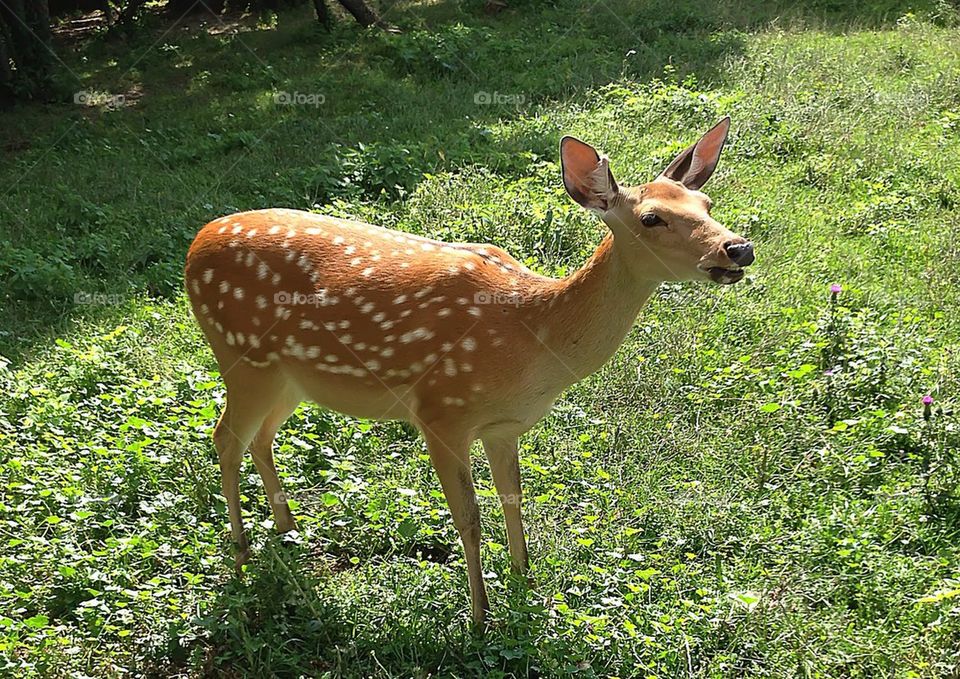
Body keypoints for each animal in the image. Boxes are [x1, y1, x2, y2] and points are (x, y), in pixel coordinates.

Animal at [184, 117, 755, 626]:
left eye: (706, 204)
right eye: (652, 218)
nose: (739, 248)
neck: (534, 335)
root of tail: (195, 242)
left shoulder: (504, 426)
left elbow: (514, 499)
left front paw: (525, 581)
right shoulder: (442, 411)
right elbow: (469, 517)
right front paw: (480, 617)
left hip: (289, 376)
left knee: (261, 437)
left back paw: (285, 526)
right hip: (241, 354)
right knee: (225, 436)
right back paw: (240, 551)